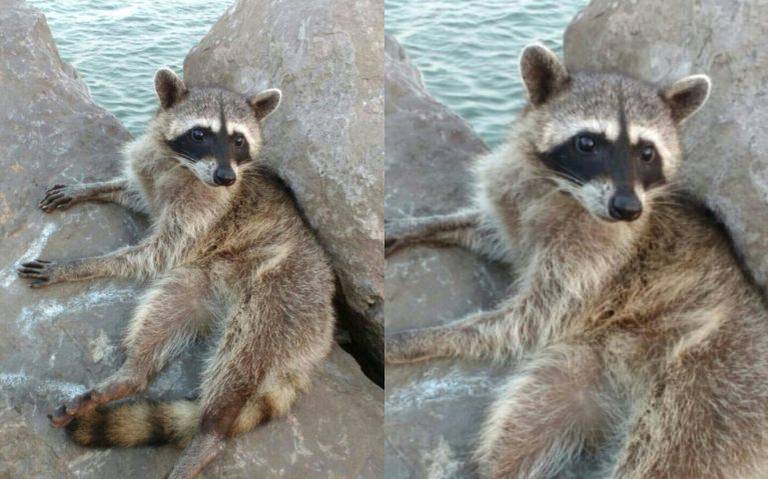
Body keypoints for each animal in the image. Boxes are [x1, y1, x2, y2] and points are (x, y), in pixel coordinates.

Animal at [16, 67, 334, 479]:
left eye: (239, 140)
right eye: (199, 134)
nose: (226, 176)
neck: (183, 166)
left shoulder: (205, 210)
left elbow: (154, 255)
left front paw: (79, 266)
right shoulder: (158, 176)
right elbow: (137, 196)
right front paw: (92, 188)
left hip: (285, 297)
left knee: (240, 362)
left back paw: (209, 436)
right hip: (199, 282)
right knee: (161, 315)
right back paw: (127, 377)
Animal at [388, 43, 768, 478]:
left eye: (647, 152)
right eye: (587, 144)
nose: (628, 208)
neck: (564, 192)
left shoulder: (598, 259)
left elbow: (522, 323)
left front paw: (420, 339)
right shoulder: (521, 208)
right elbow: (493, 233)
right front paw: (417, 225)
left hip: (718, 381)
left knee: (670, 458)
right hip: (582, 366)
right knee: (517, 430)